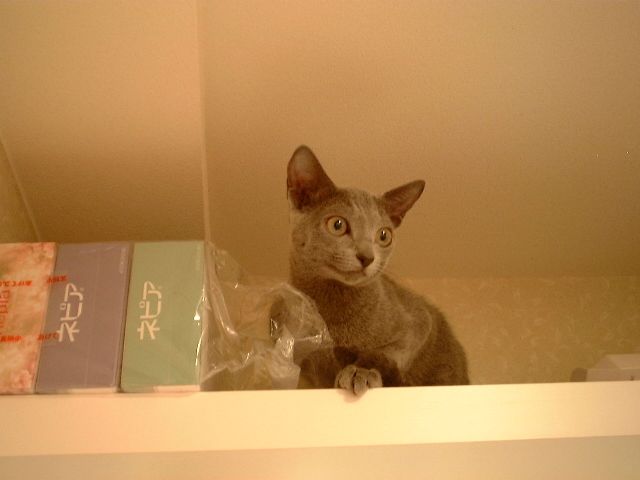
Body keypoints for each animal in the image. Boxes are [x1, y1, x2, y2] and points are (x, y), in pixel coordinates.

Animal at [286, 145, 469, 395]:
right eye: (337, 224)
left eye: (384, 235)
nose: (367, 257)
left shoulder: (420, 320)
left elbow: (385, 351)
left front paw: (360, 371)